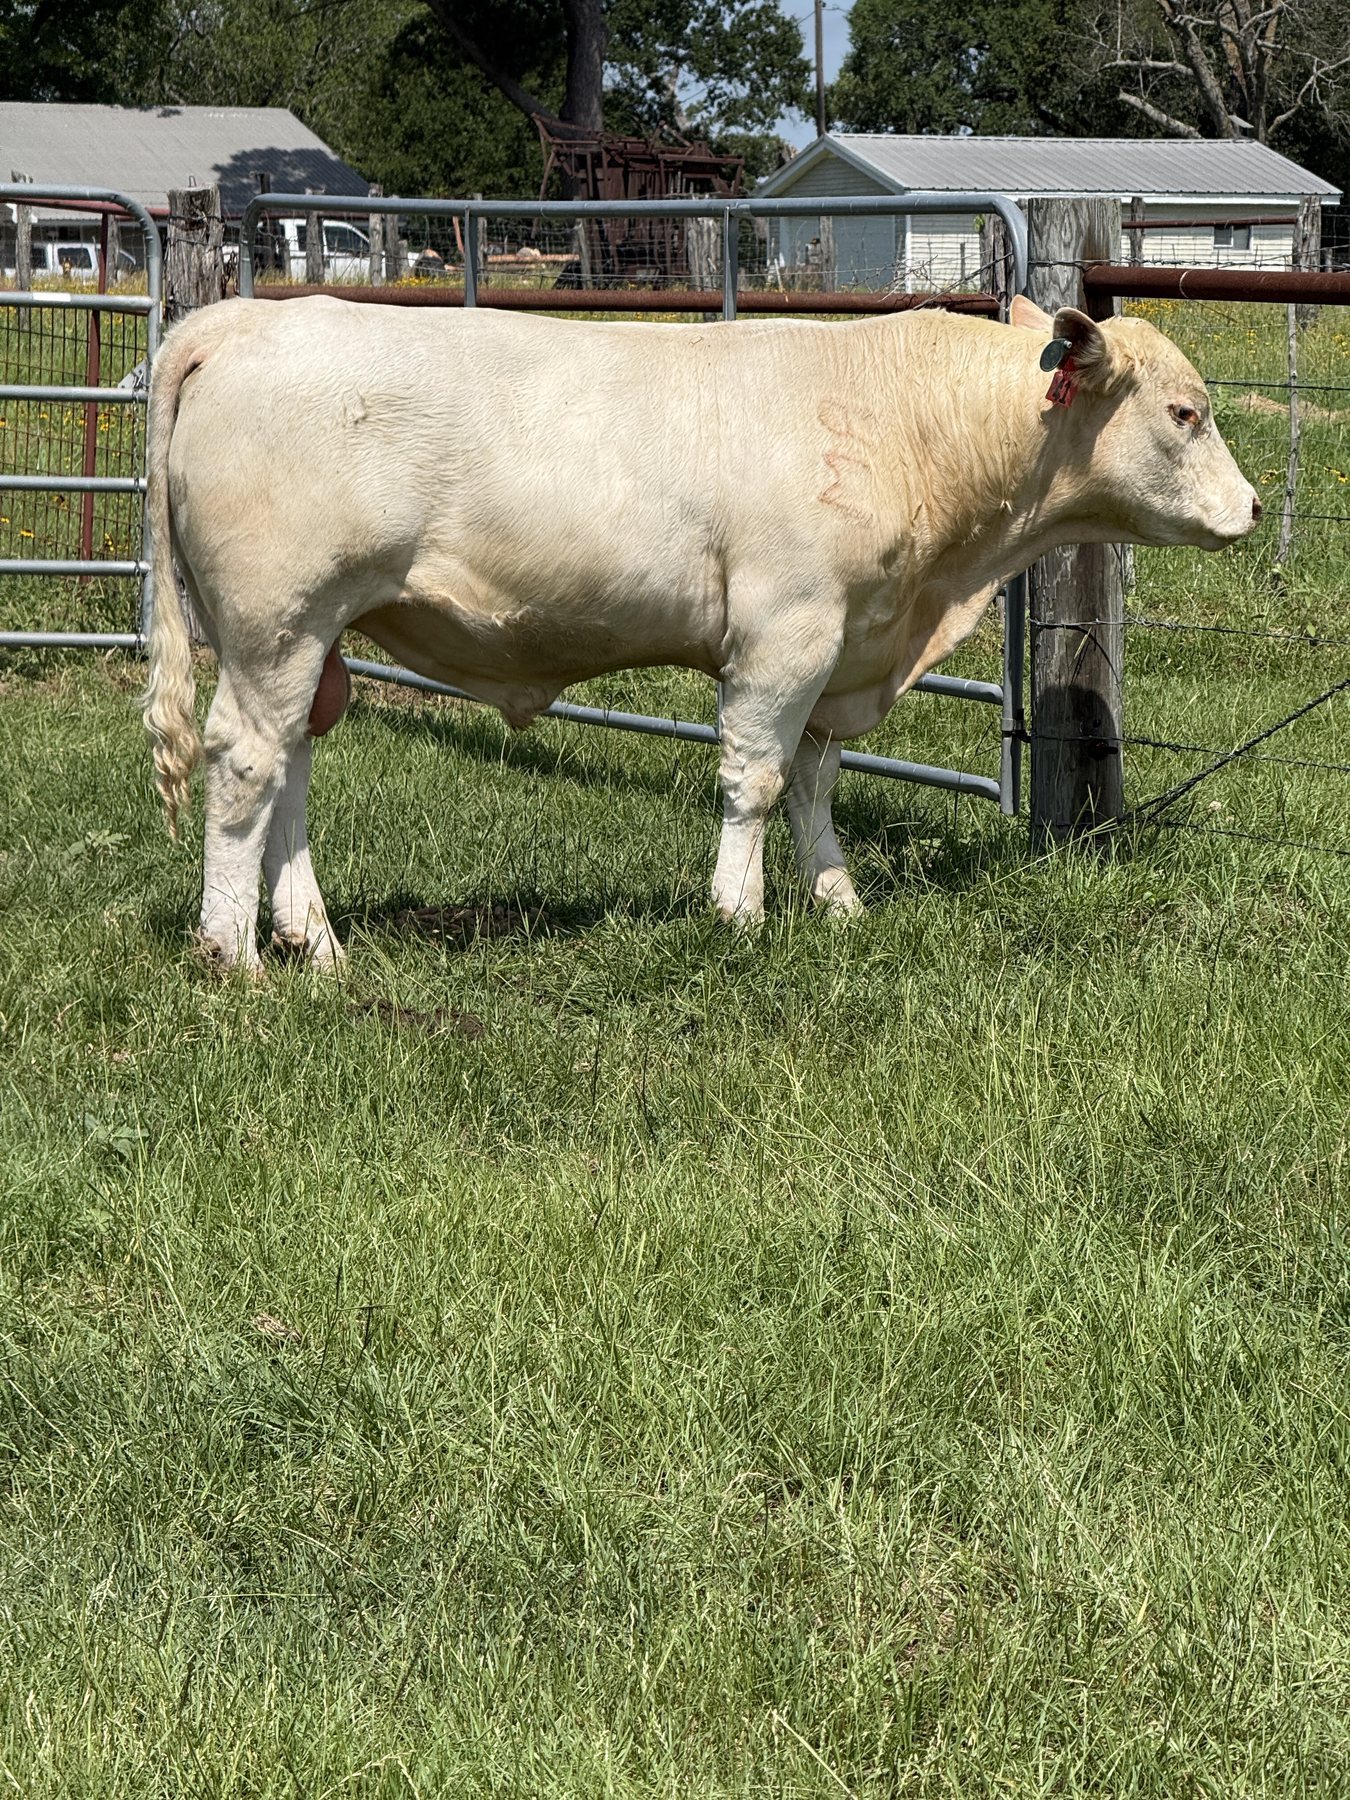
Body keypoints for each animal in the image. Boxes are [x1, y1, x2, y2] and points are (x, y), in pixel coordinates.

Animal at [141, 293, 1259, 972]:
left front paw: (838, 901)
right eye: (1186, 412)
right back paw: (235, 950)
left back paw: (313, 940)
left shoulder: (842, 647)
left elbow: (814, 782)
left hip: (307, 638)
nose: (1250, 508)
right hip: (278, 619)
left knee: (291, 764)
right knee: (245, 760)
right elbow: (756, 778)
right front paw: (739, 912)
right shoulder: (787, 634)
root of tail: (247, 318)